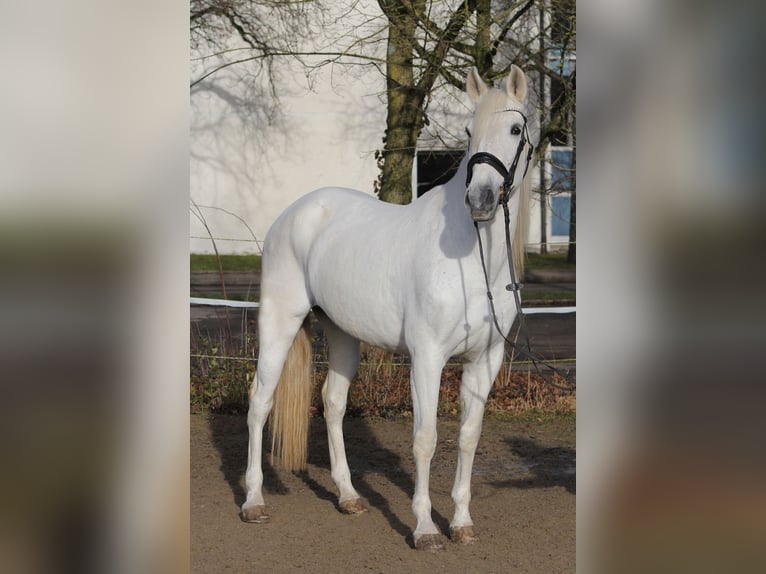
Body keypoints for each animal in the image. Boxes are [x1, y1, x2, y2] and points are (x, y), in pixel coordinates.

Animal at [242, 66, 536, 552]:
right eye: (468, 131)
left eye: (515, 130)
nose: (480, 200)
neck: (469, 258)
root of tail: (293, 214)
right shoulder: (428, 357)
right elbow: (425, 439)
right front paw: (425, 529)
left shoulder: (485, 360)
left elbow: (468, 437)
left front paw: (461, 523)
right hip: (279, 322)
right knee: (260, 403)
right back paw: (253, 501)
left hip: (341, 332)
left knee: (332, 403)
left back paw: (347, 496)